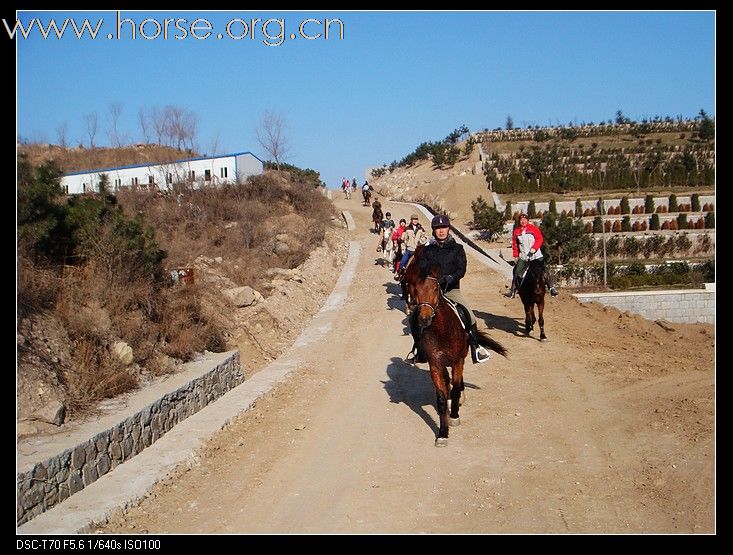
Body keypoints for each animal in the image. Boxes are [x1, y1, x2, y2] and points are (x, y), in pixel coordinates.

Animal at [408, 264, 506, 448]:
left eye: (436, 288)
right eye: (416, 290)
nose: (424, 319)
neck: (442, 331)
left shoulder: (457, 361)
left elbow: (454, 390)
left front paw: (454, 416)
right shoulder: (435, 364)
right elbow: (441, 398)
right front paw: (442, 434)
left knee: (457, 382)